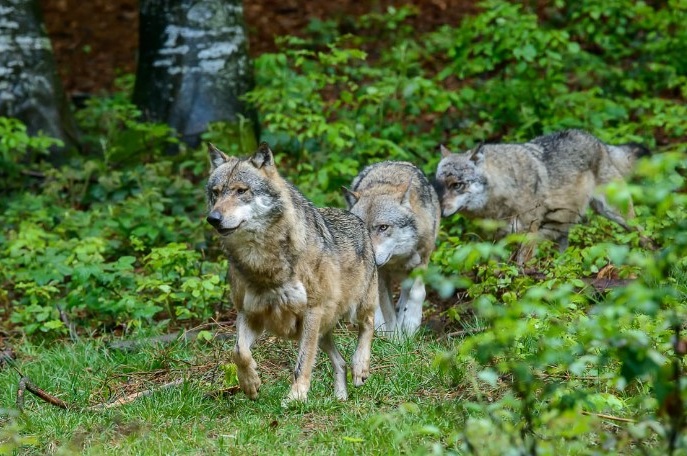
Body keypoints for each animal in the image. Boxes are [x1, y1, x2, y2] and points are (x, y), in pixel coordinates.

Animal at [207, 142, 378, 402]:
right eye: (215, 193)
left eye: (241, 191)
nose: (213, 218)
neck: (264, 263)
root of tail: (356, 217)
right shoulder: (249, 313)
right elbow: (239, 351)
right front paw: (250, 383)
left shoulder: (312, 311)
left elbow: (302, 362)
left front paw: (296, 397)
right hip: (322, 331)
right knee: (339, 362)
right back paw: (340, 398)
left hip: (353, 309)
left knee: (368, 325)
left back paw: (360, 367)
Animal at [344, 160, 440, 334]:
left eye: (383, 227)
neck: (398, 259)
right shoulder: (381, 276)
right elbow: (387, 312)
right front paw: (393, 337)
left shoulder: (423, 258)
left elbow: (417, 293)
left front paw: (410, 324)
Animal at [436, 130, 652, 262]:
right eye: (438, 186)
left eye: (456, 185)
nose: (439, 211)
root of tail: (599, 142)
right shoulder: (491, 239)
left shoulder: (528, 232)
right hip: (561, 223)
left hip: (615, 213)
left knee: (641, 230)